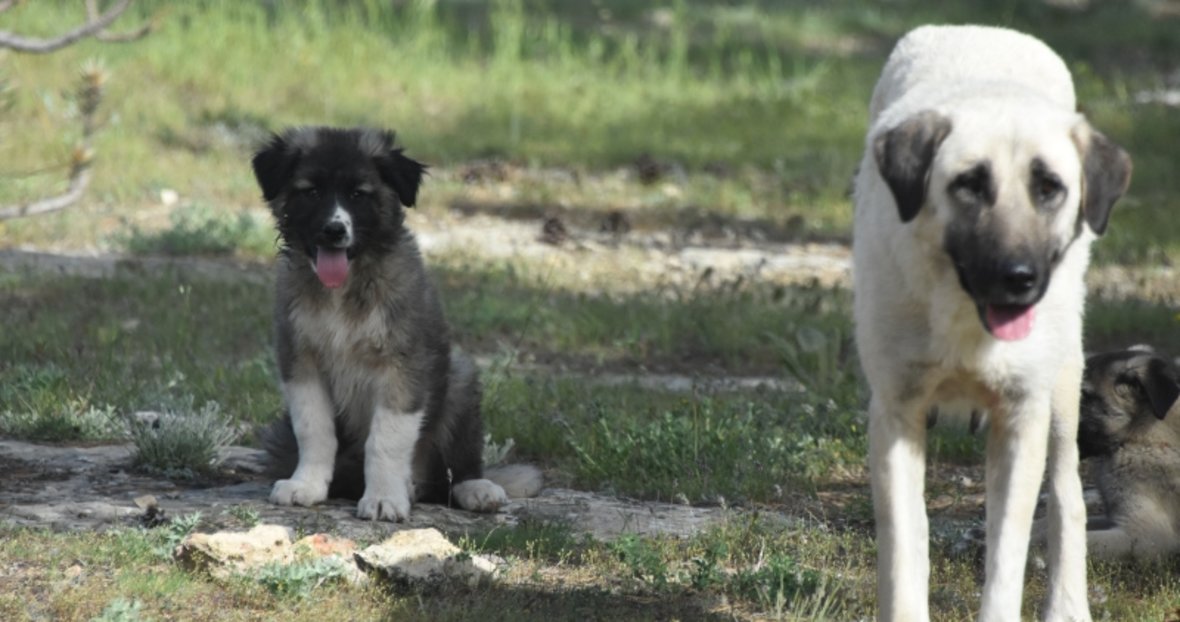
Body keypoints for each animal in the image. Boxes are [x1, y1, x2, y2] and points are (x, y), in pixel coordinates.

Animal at [253, 125, 542, 521]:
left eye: (358, 195)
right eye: (311, 192)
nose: (333, 231)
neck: (345, 288)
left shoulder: (403, 366)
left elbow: (386, 440)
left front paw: (384, 498)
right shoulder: (300, 361)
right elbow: (315, 429)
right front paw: (306, 485)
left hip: (460, 379)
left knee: (455, 469)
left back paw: (475, 488)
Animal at [859, 24, 1132, 622]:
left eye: (1049, 187)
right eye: (969, 184)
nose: (1018, 278)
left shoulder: (1021, 418)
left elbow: (1007, 556)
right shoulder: (896, 413)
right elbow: (904, 550)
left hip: (1061, 391)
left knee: (1067, 495)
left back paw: (1068, 605)